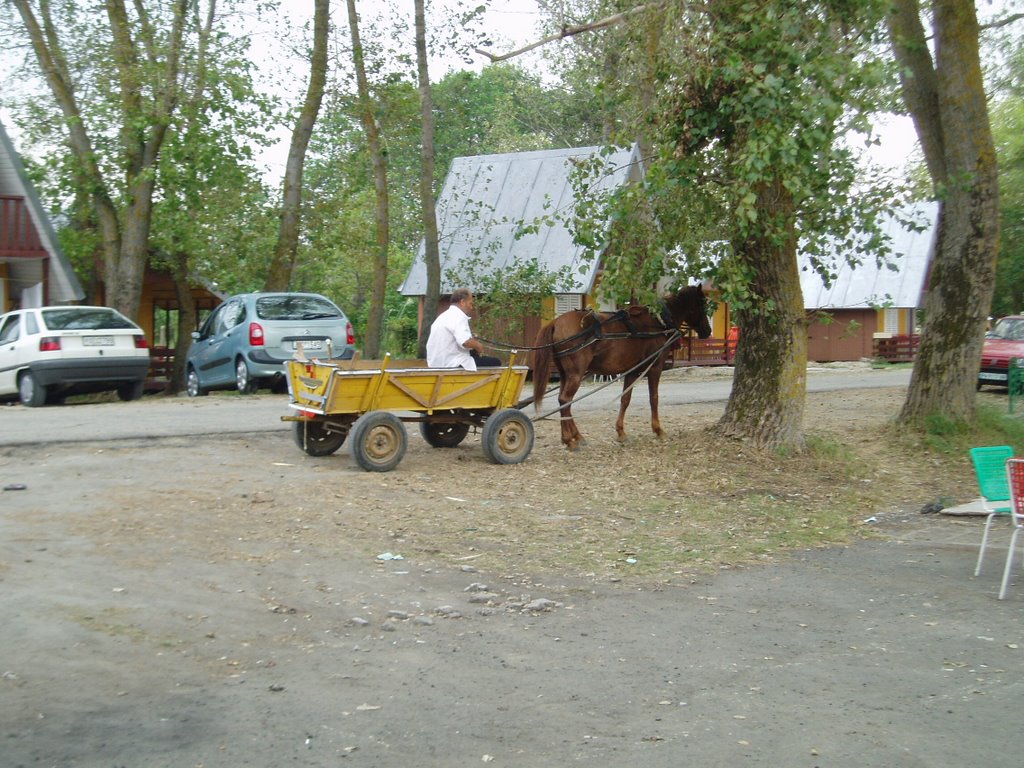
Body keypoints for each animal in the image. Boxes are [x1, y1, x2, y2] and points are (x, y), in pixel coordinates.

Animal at [532, 284, 708, 450]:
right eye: (703, 304)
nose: (707, 331)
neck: (658, 322)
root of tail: (555, 322)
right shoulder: (655, 367)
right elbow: (654, 398)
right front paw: (658, 430)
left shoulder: (632, 370)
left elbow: (625, 399)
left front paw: (621, 432)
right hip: (576, 374)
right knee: (565, 400)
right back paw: (570, 439)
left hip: (565, 374)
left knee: (562, 401)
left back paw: (573, 437)